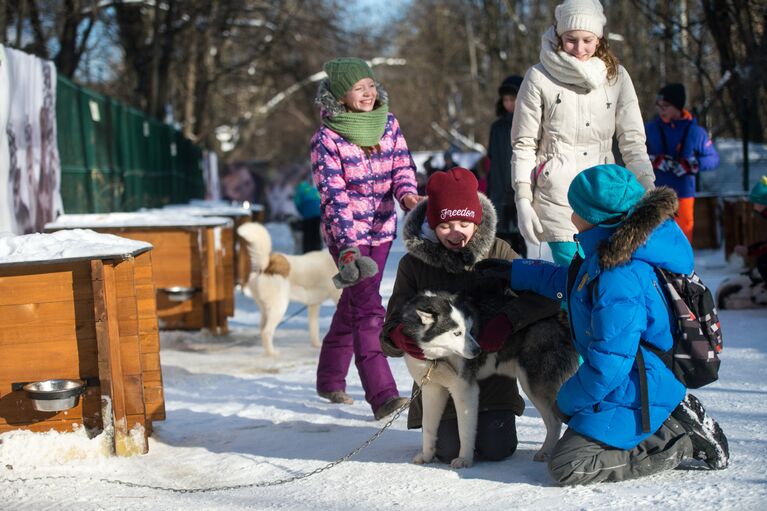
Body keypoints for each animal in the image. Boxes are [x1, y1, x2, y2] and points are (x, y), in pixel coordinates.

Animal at [236, 222, 340, 358]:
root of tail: (268, 264)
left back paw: (268, 352)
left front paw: (317, 345)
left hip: (266, 310)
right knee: (267, 332)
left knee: (262, 329)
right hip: (279, 308)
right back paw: (272, 353)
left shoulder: (313, 305)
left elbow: (314, 328)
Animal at [402, 292, 576, 468]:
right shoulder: (432, 389)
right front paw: (426, 456)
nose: (478, 351)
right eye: (457, 333)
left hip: (533, 383)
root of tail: (561, 318)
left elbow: (465, 430)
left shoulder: (465, 389)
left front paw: (464, 459)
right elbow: (428, 427)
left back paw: (545, 451)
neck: (438, 357)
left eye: (470, 330)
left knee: (555, 421)